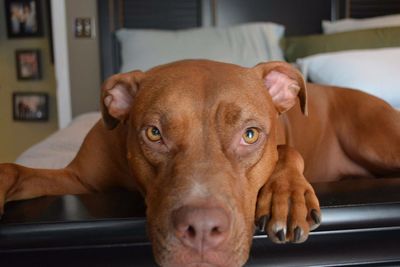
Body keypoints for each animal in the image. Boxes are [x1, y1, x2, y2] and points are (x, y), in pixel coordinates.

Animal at [0, 60, 400, 267]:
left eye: (250, 134)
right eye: (154, 133)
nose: (203, 230)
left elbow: (287, 150)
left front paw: (287, 197)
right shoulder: (76, 181)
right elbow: (14, 170)